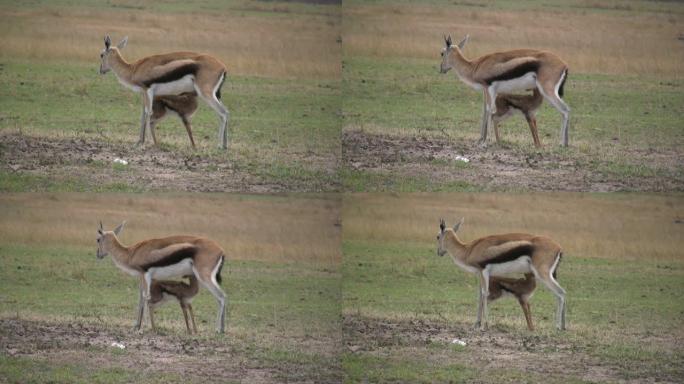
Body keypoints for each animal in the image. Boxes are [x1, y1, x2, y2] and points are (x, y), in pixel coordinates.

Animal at [95, 222, 227, 332]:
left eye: (98, 239)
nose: (98, 255)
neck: (131, 253)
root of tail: (220, 250)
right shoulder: (141, 277)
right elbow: (140, 298)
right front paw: (136, 326)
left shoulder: (146, 274)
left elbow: (146, 297)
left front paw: (144, 328)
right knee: (221, 297)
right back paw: (222, 329)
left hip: (204, 276)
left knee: (221, 296)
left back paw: (218, 329)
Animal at [438, 219, 568, 330]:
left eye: (437, 236)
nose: (439, 252)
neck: (469, 249)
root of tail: (559, 247)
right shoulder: (479, 274)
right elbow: (479, 296)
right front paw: (476, 324)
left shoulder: (484, 271)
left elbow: (484, 294)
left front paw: (484, 325)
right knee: (561, 293)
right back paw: (563, 327)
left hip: (543, 274)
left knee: (561, 293)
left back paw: (558, 326)